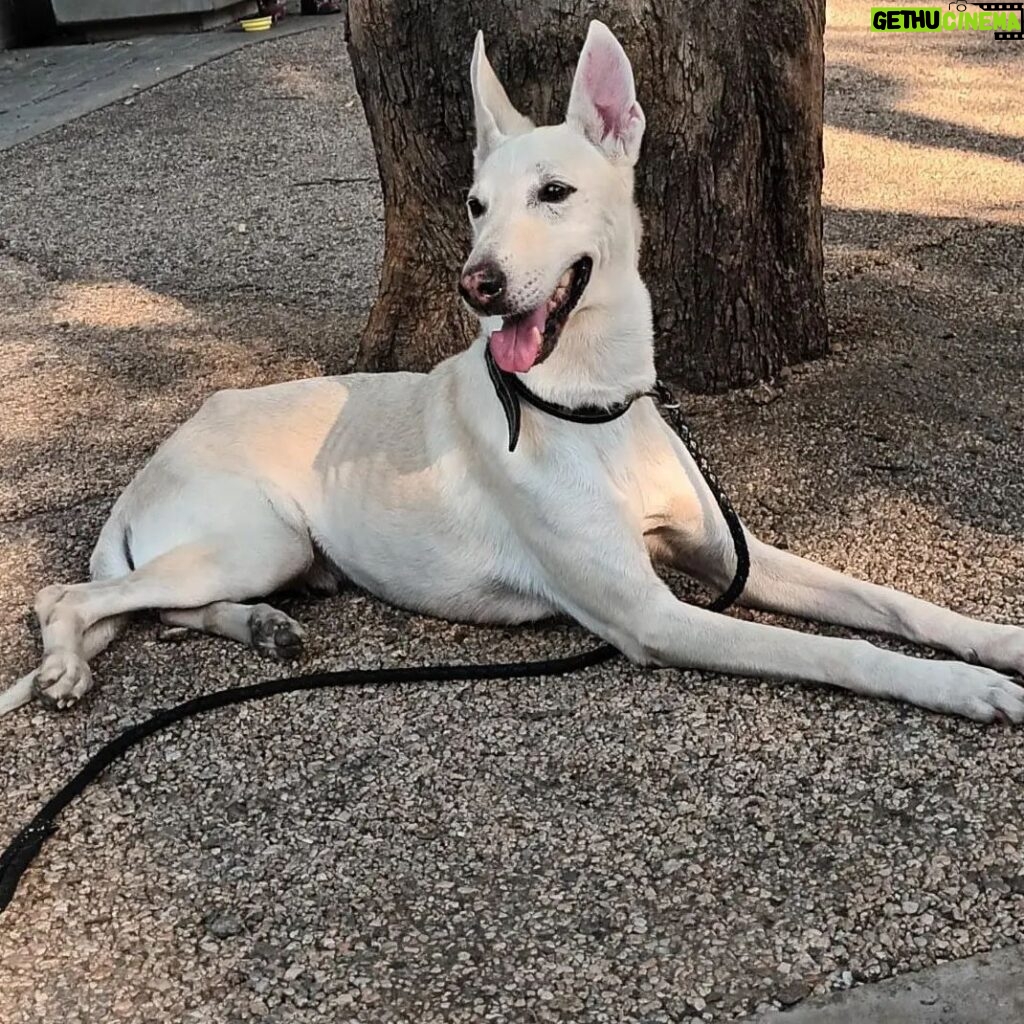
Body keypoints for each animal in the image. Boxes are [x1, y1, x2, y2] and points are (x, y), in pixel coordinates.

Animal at [2, 18, 1024, 720]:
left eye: (555, 192)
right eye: (475, 203)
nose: (476, 284)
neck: (592, 407)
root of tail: (156, 461)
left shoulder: (722, 551)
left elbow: (890, 604)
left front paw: (998, 642)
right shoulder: (653, 614)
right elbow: (843, 652)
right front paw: (963, 688)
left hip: (268, 554)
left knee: (164, 606)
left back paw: (260, 626)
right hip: (256, 537)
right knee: (73, 596)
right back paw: (67, 666)